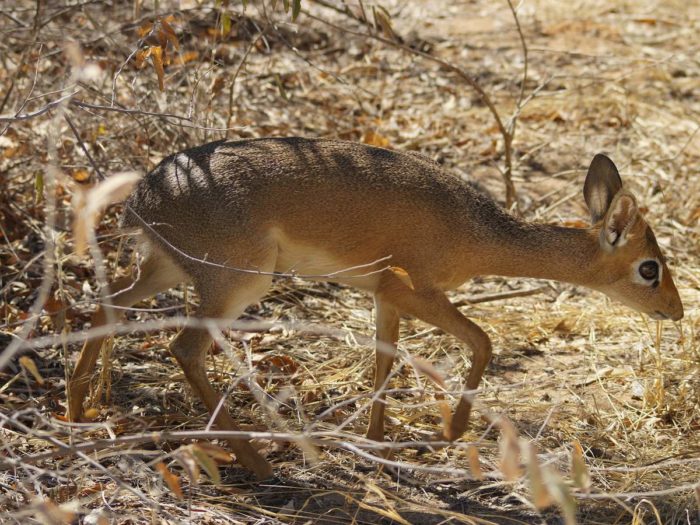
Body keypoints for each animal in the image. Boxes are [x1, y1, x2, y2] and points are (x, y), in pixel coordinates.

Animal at [69, 137, 684, 476]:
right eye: (649, 268)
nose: (676, 312)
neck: (477, 232)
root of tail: (143, 197)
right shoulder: (412, 289)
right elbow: (483, 339)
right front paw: (450, 432)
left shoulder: (383, 295)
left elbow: (384, 362)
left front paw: (377, 441)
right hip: (237, 285)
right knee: (183, 346)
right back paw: (257, 461)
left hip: (168, 270)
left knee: (107, 304)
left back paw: (77, 413)